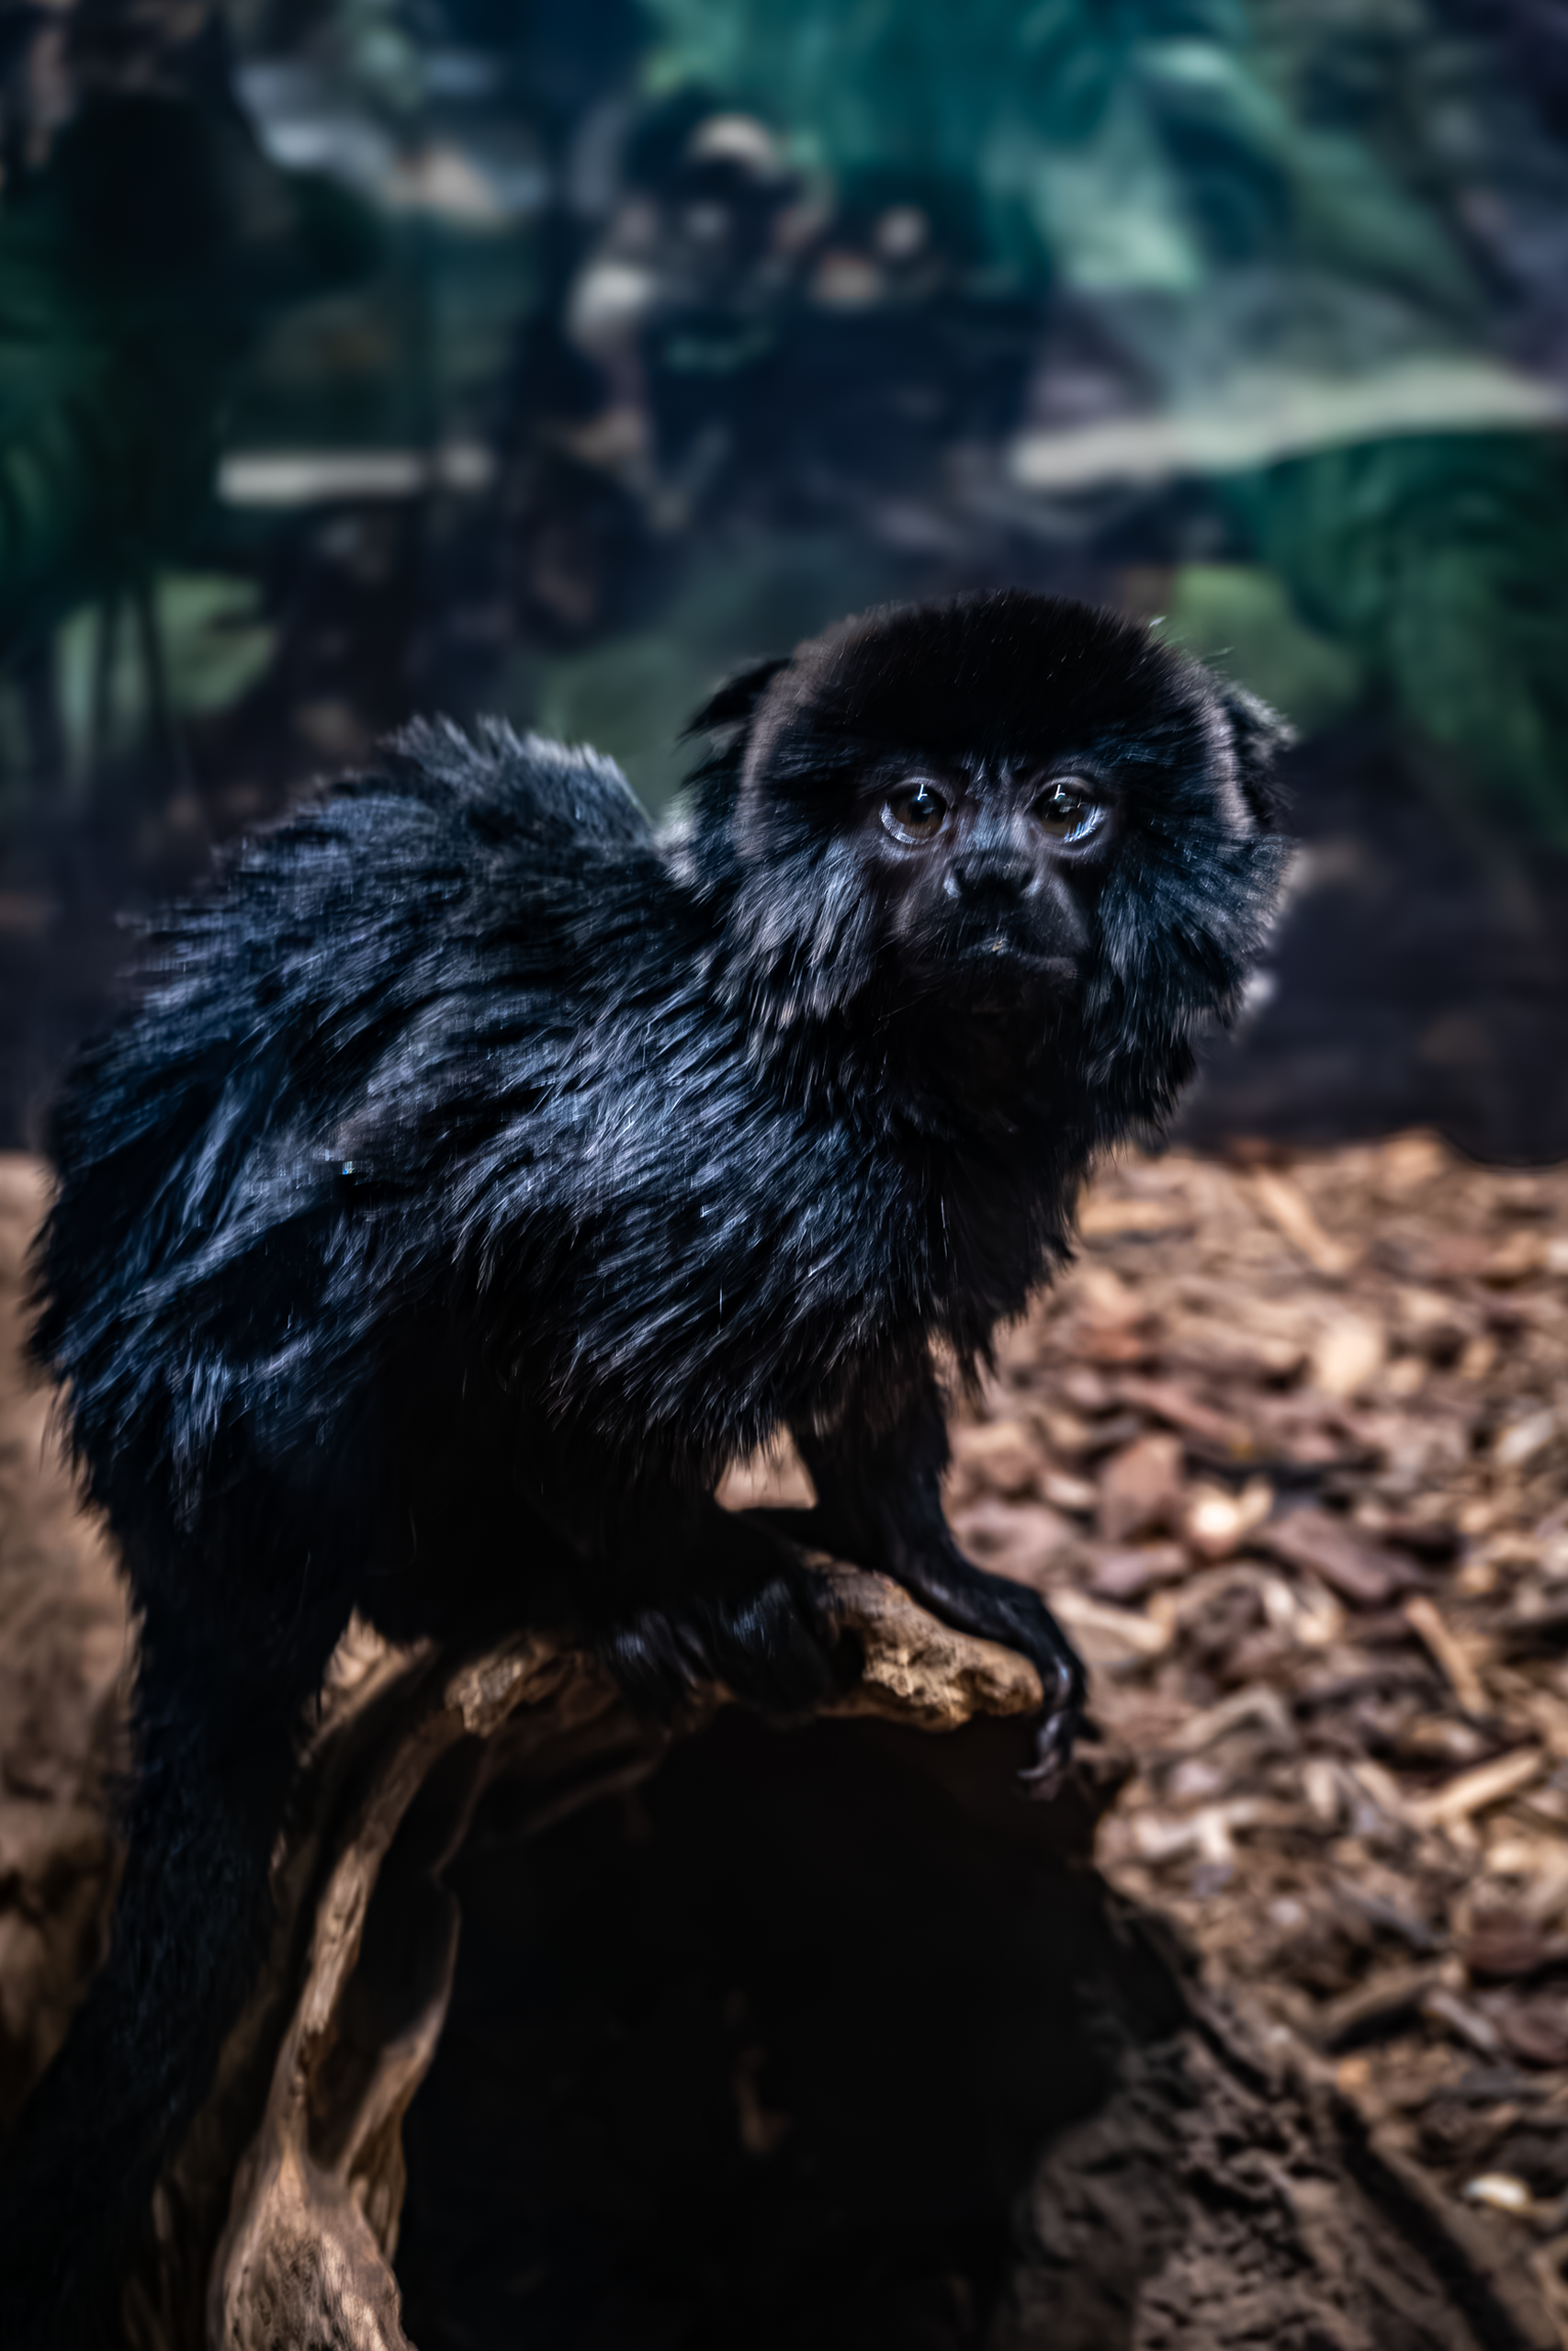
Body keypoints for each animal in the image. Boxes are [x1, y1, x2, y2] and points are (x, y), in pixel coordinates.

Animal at [0, 590, 1288, 2343]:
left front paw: (944, 1575)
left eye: (1067, 808)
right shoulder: (669, 1158)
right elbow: (544, 1331)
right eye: (916, 809)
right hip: (249, 1437)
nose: (989, 874)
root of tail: (170, 1538)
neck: (862, 1066)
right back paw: (544, 1589)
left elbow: (871, 1406)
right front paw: (684, 1580)